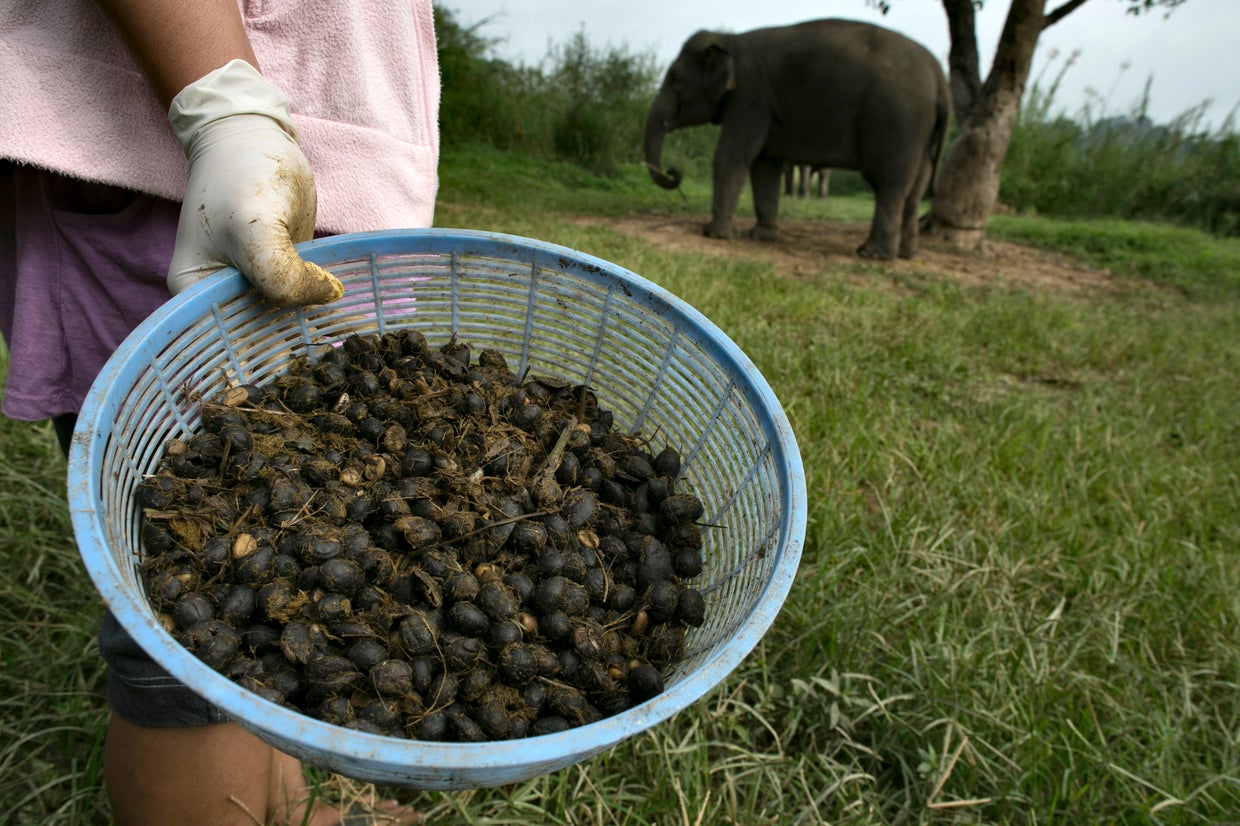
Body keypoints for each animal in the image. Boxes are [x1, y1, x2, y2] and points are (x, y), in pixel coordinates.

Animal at [644, 19, 950, 260]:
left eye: (675, 80)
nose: (673, 170)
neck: (729, 39)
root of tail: (940, 78)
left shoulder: (750, 96)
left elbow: (733, 155)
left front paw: (713, 234)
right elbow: (764, 165)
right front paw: (762, 236)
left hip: (899, 118)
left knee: (890, 184)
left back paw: (872, 254)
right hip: (920, 131)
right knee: (915, 190)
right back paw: (906, 254)